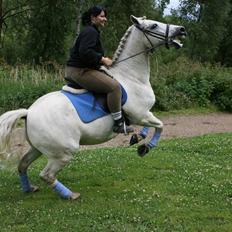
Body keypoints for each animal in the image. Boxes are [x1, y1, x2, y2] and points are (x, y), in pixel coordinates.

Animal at [0, 15, 186, 199]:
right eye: (154, 25)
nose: (181, 29)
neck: (131, 76)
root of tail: (29, 112)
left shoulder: (143, 115)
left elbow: (150, 127)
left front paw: (138, 137)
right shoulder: (140, 115)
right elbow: (160, 126)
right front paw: (145, 147)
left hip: (38, 148)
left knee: (23, 164)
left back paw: (29, 188)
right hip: (64, 152)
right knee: (47, 175)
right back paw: (70, 195)